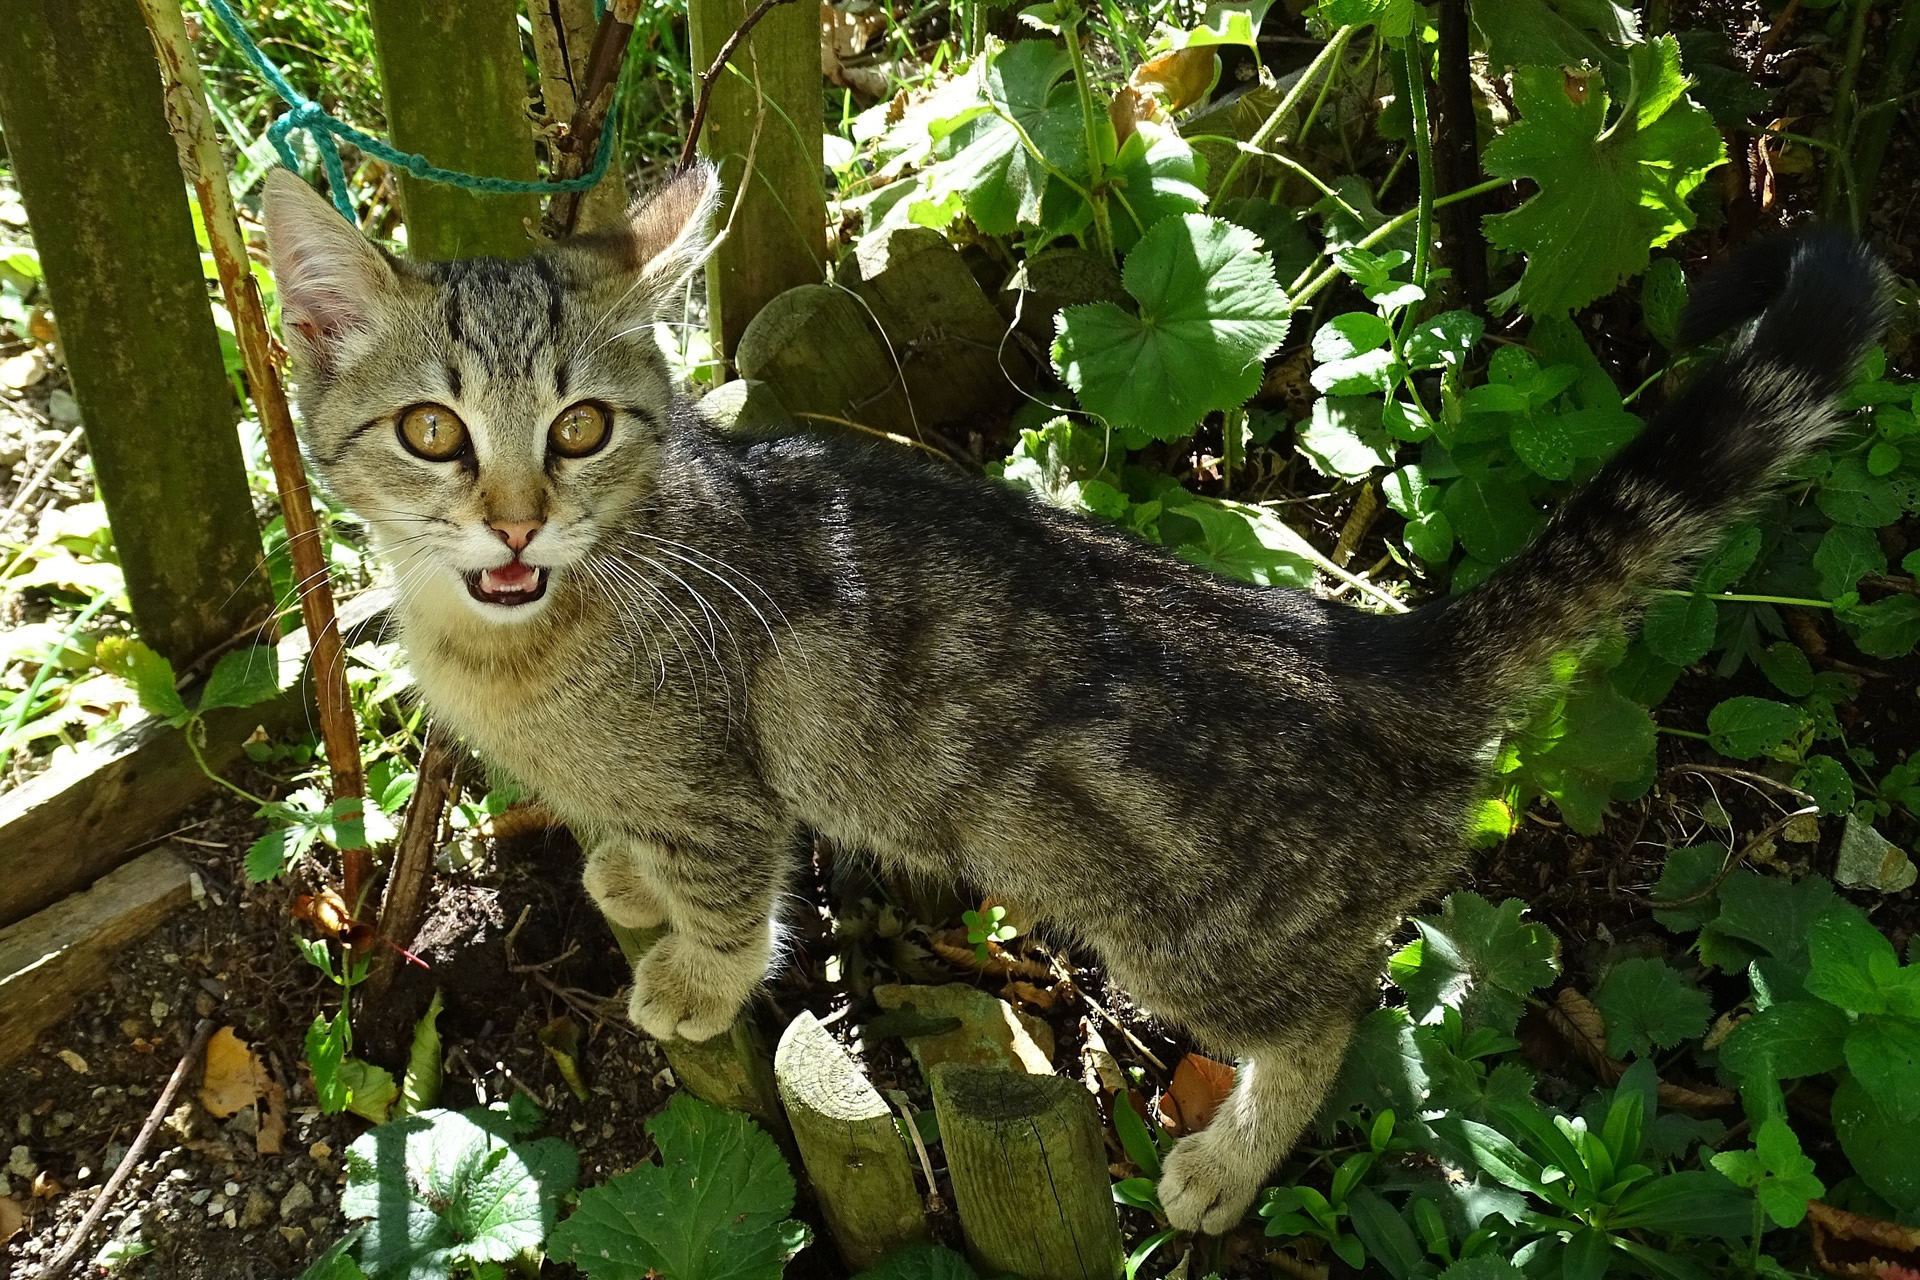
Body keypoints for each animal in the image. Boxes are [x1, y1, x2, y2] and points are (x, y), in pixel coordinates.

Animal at [263, 160, 1881, 1228]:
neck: (523, 639)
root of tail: (1373, 643)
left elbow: (734, 892)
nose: (517, 522)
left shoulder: (726, 789)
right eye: (434, 432)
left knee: (1339, 1008)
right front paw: (623, 876)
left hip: (1198, 934)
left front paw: (693, 976)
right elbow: (647, 851)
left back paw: (1226, 1165)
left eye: (582, 429)